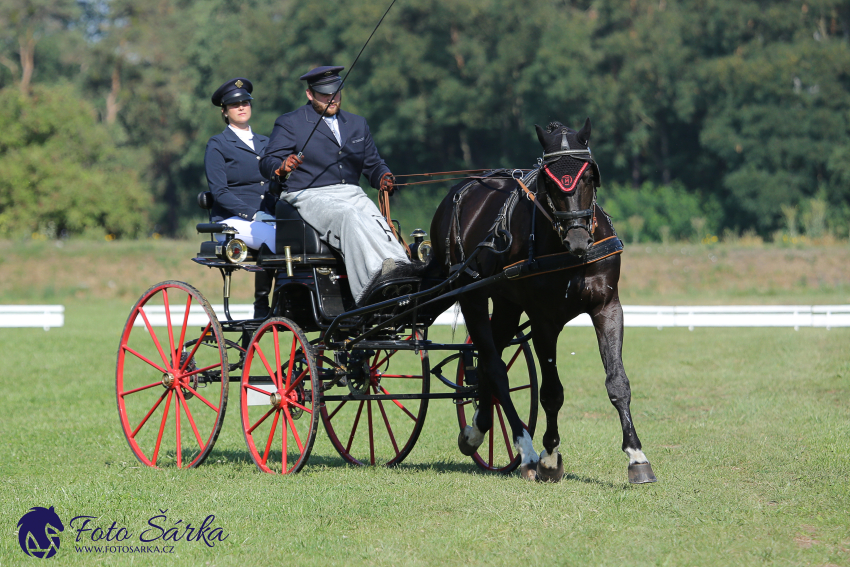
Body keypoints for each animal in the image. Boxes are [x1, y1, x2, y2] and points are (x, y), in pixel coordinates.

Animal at [430, 120, 656, 484]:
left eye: (588, 175)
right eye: (548, 181)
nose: (577, 238)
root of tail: (460, 191)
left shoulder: (607, 308)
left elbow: (617, 381)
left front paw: (637, 457)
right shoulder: (543, 321)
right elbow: (552, 392)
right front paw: (550, 457)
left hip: (506, 305)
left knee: (489, 360)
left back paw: (478, 429)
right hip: (471, 296)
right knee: (495, 367)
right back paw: (525, 450)